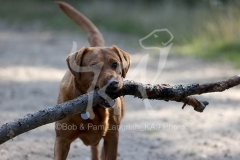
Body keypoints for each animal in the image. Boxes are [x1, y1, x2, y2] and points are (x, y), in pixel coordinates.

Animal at [53, 1, 130, 160]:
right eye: (94, 66)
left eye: (115, 64)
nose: (113, 83)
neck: (94, 108)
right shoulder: (62, 140)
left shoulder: (112, 138)